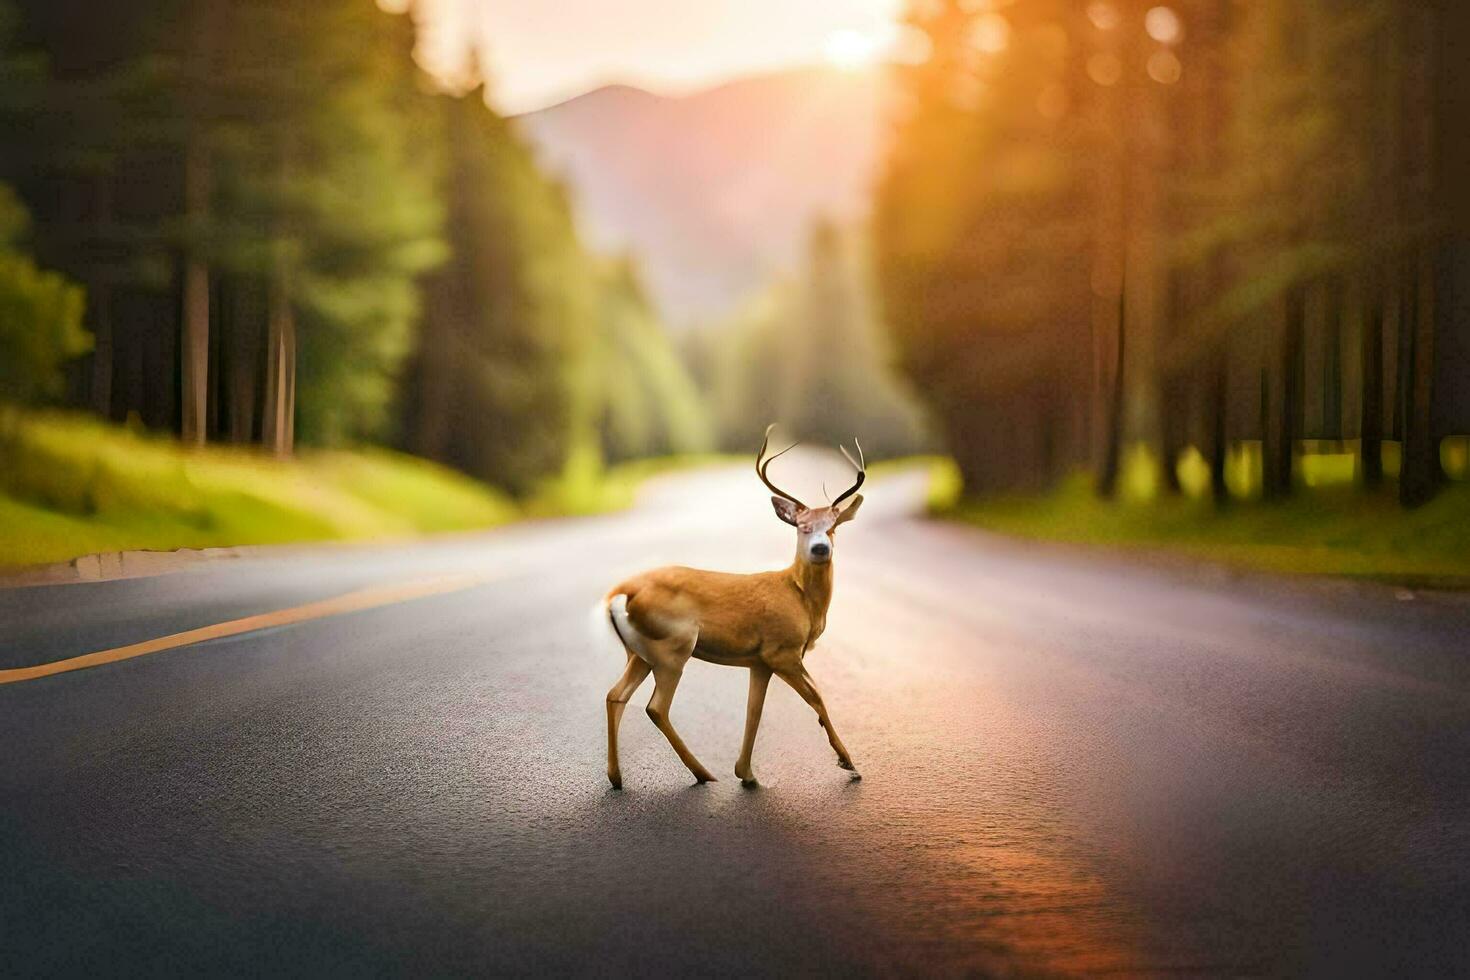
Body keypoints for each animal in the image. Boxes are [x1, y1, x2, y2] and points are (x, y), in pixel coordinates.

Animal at [602, 426, 864, 787]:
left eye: (834, 527)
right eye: (803, 526)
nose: (821, 548)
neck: (802, 601)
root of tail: (621, 593)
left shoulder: (760, 661)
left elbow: (755, 710)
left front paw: (747, 774)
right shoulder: (781, 650)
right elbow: (817, 698)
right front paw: (849, 764)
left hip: (640, 652)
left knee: (615, 694)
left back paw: (617, 777)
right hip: (674, 646)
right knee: (656, 707)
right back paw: (702, 773)